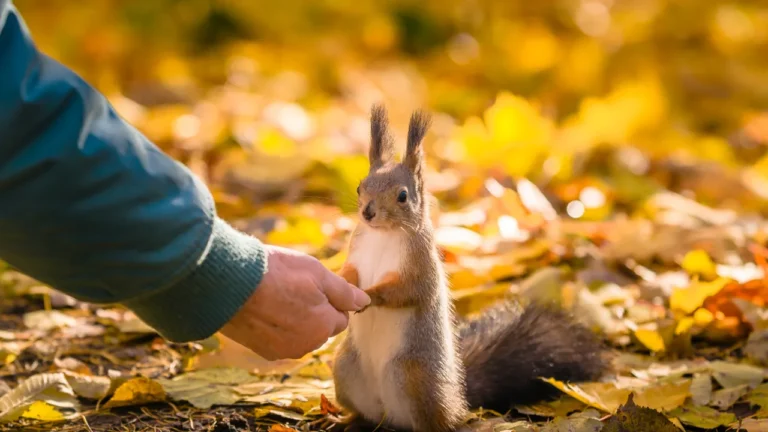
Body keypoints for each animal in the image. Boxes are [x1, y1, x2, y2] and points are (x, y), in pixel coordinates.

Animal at [332, 104, 608, 432]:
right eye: (361, 187)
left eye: (402, 196)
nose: (368, 212)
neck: (382, 235)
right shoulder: (357, 252)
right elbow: (350, 273)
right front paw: (340, 281)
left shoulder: (420, 265)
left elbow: (408, 290)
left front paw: (372, 295)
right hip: (345, 369)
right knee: (365, 413)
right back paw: (346, 419)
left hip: (414, 378)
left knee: (432, 422)